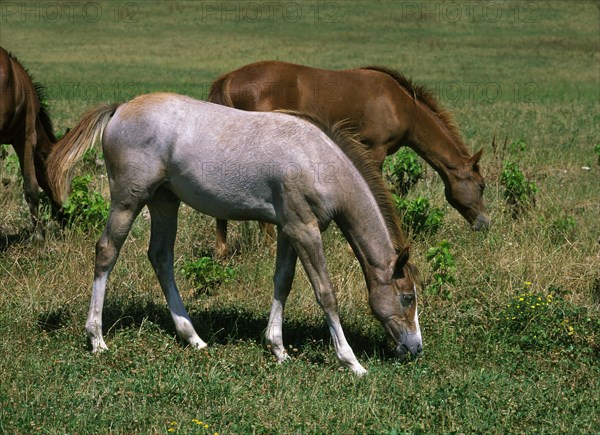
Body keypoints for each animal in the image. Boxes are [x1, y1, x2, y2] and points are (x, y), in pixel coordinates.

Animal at [47, 94, 422, 374]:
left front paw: (278, 348)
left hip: (164, 201)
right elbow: (325, 293)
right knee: (107, 252)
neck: (317, 159)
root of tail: (121, 108)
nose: (415, 348)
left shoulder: (288, 229)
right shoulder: (305, 230)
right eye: (407, 297)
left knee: (161, 257)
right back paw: (97, 339)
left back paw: (193, 337)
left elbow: (283, 282)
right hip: (128, 199)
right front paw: (351, 361)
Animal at [209, 61, 490, 258]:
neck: (401, 105)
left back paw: (222, 251)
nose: (485, 223)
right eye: (482, 185)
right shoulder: (374, 151)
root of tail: (228, 79)